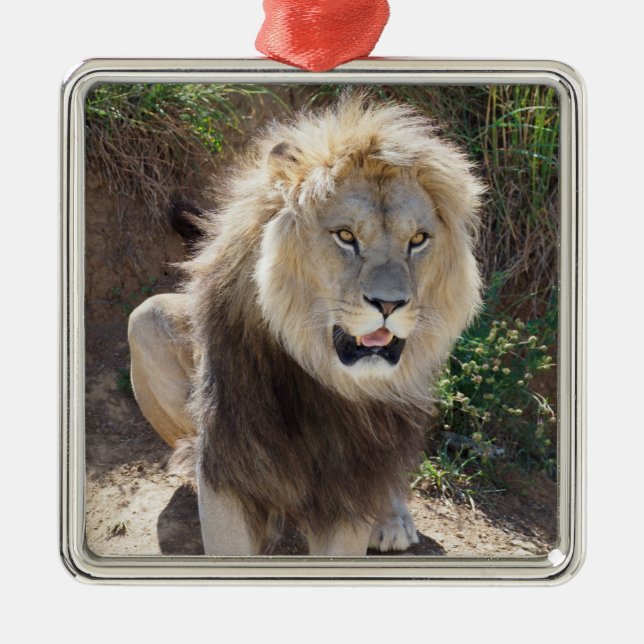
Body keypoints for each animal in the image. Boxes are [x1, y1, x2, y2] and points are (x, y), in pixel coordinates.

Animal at [128, 93, 484, 556]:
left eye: (418, 240)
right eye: (346, 236)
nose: (390, 303)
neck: (322, 384)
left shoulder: (351, 487)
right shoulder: (227, 470)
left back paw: (392, 520)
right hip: (145, 321)